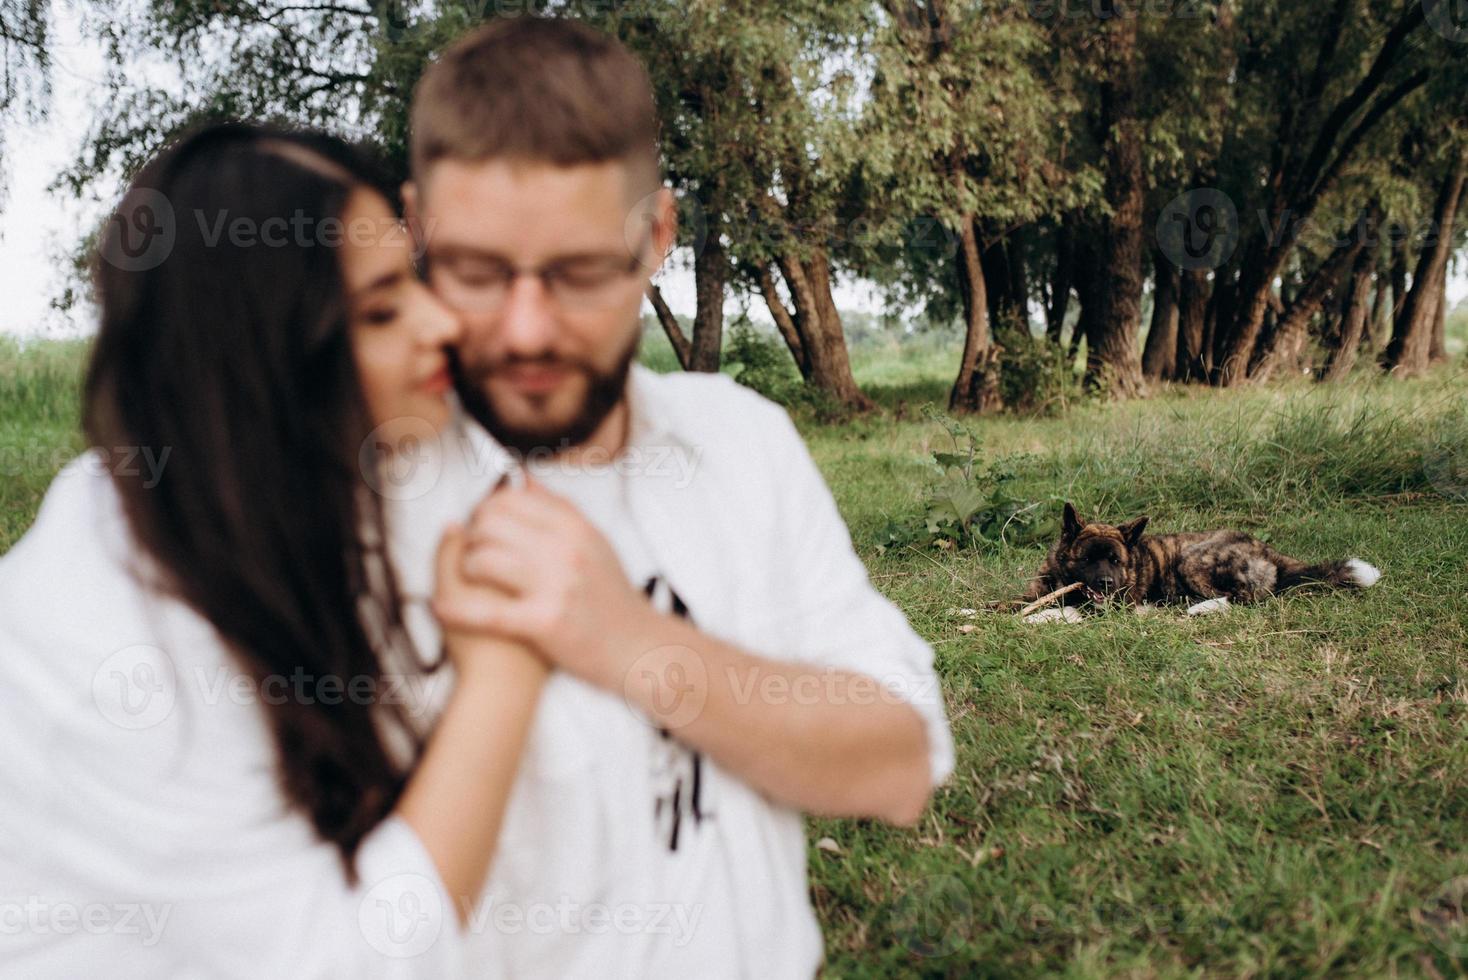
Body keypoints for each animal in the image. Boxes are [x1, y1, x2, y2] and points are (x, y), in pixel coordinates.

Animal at [1021, 504, 1374, 619]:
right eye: (1087, 559)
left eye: (1115, 560)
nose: (1107, 584)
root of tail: (1267, 550)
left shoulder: (1112, 608)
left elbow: (1066, 610)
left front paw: (1034, 620)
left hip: (1192, 560)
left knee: (1242, 599)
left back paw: (1201, 608)